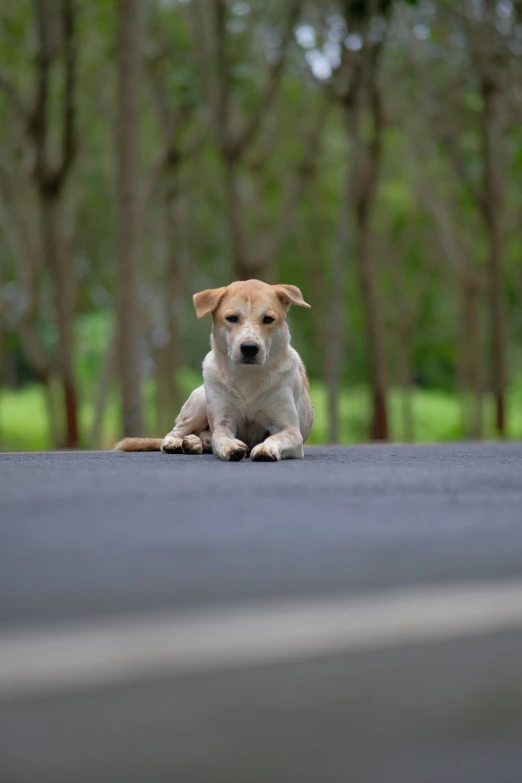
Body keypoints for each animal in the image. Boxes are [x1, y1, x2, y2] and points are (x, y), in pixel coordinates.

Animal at [116, 280, 310, 460]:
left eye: (268, 319)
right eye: (232, 318)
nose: (249, 348)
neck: (246, 375)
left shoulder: (290, 430)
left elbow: (276, 437)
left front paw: (265, 448)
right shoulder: (223, 421)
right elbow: (220, 435)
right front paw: (230, 447)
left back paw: (194, 443)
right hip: (200, 401)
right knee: (176, 431)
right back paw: (176, 443)